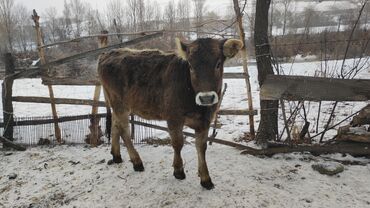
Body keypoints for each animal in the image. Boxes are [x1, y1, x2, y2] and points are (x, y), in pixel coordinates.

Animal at [98, 36, 243, 189]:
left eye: (218, 64)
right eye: (190, 66)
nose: (206, 98)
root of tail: (108, 53)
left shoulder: (205, 120)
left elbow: (201, 147)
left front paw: (205, 178)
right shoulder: (173, 118)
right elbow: (178, 143)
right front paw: (178, 171)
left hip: (117, 105)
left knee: (115, 125)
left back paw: (116, 156)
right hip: (120, 104)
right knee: (124, 130)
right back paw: (137, 162)